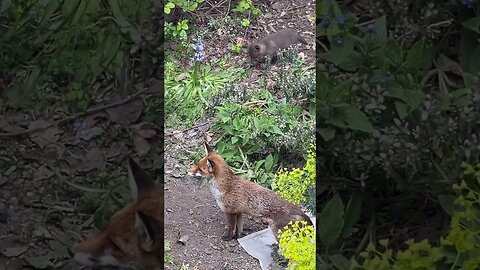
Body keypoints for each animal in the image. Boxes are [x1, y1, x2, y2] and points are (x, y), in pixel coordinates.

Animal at [186, 143, 314, 240]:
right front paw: (237, 238)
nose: (188, 171)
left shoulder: (230, 212)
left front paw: (228, 238)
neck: (225, 187)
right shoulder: (239, 213)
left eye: (200, 169)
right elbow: (239, 228)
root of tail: (300, 211)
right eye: (197, 164)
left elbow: (231, 228)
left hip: (278, 232)